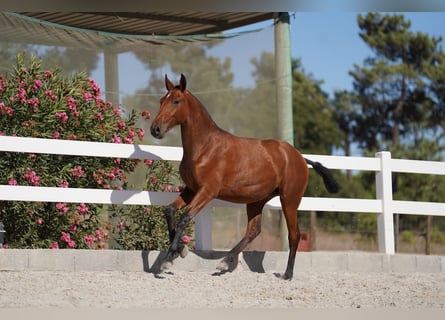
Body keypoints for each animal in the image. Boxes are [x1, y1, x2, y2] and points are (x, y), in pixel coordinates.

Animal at [150, 74, 340, 278]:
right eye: (161, 100)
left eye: (176, 101)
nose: (155, 129)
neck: (204, 148)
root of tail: (300, 157)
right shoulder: (191, 190)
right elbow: (169, 211)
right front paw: (180, 251)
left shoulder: (207, 191)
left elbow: (184, 218)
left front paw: (169, 259)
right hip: (257, 201)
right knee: (253, 231)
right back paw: (225, 262)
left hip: (289, 200)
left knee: (294, 234)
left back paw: (287, 274)